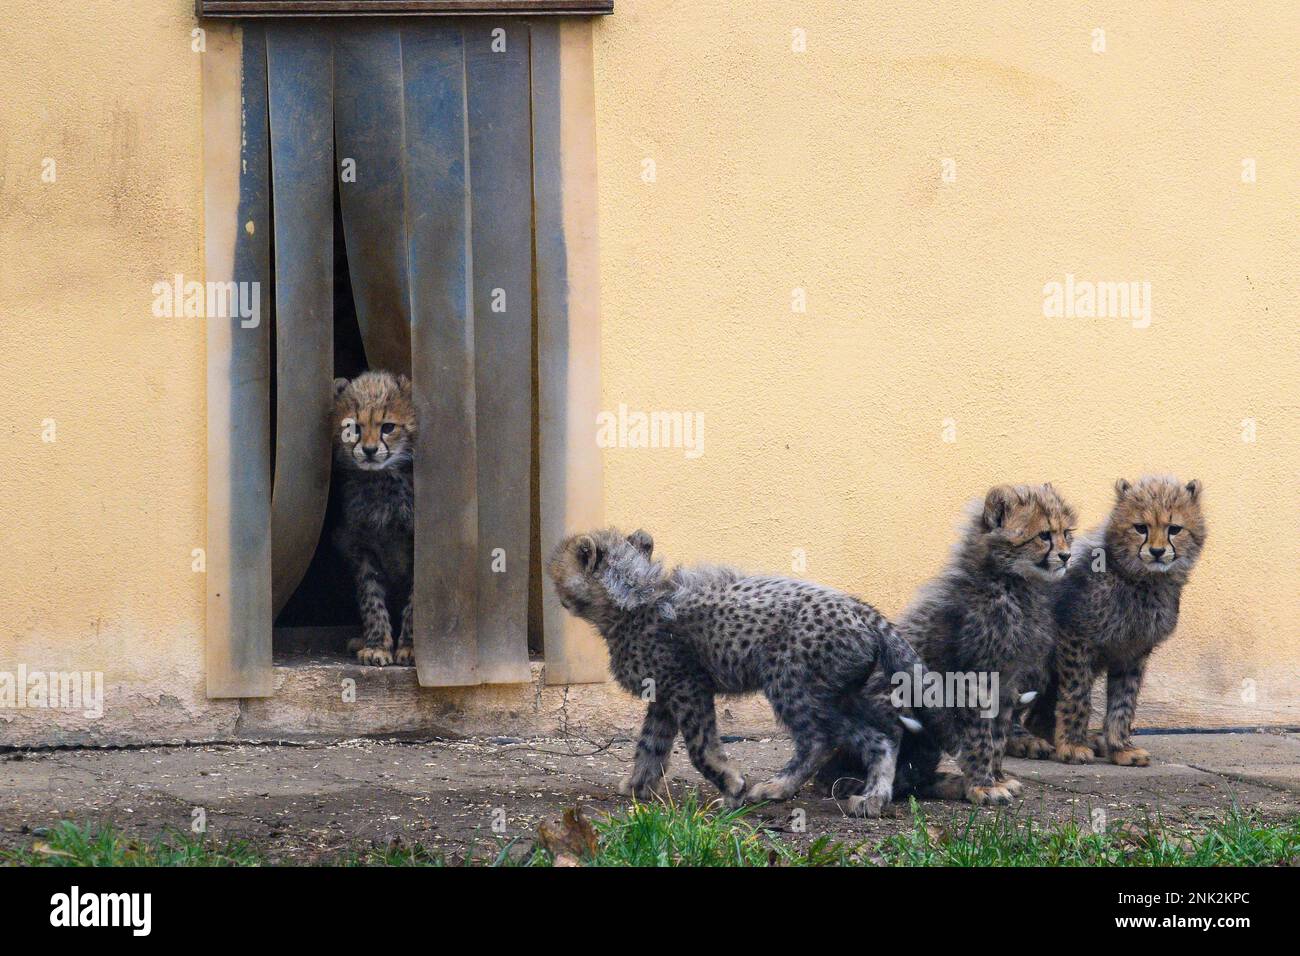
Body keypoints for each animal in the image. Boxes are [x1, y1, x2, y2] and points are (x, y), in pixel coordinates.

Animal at [331, 371, 417, 667]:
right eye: (354, 428)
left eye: (388, 427)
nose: (368, 450)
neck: (380, 480)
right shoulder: (361, 546)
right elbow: (371, 597)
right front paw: (376, 645)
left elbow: (415, 602)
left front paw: (409, 647)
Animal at [548, 528, 925, 817]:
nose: (557, 596)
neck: (633, 596)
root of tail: (859, 606)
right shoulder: (665, 695)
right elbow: (650, 744)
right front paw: (638, 785)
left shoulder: (688, 686)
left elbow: (700, 748)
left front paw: (732, 787)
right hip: (841, 690)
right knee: (885, 733)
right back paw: (872, 796)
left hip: (793, 685)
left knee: (825, 738)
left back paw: (782, 788)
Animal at [1023, 475, 1206, 767]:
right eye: (1140, 528)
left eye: (1174, 529)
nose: (1157, 551)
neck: (1142, 581)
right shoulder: (1075, 638)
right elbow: (1077, 695)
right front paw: (1073, 745)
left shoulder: (1133, 651)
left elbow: (1124, 701)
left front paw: (1120, 747)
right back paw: (1026, 742)